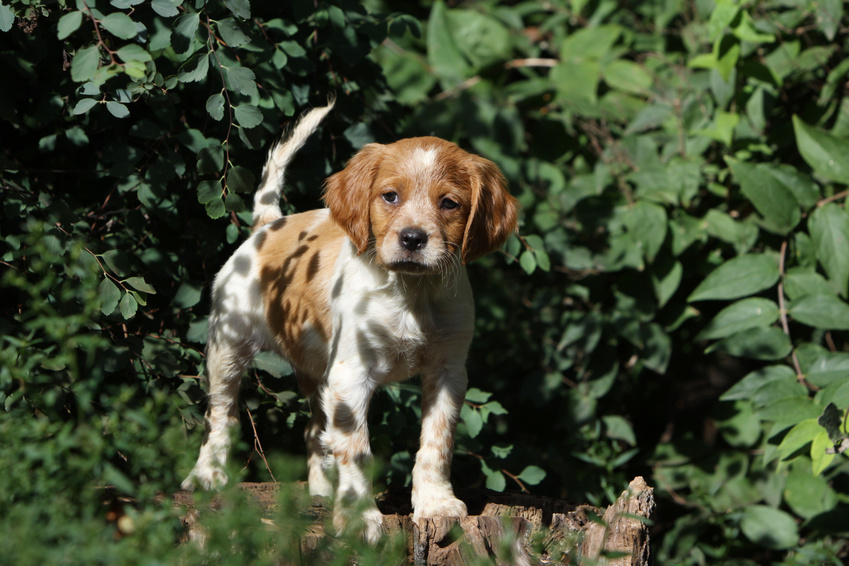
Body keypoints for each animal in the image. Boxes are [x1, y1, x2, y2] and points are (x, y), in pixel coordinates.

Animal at [182, 101, 520, 540]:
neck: (411, 294)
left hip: (314, 368)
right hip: (229, 342)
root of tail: (269, 225)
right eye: (390, 196)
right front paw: (361, 516)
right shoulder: (351, 373)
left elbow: (437, 442)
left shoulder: (447, 371)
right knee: (221, 414)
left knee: (314, 431)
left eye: (449, 203)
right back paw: (207, 474)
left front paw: (436, 503)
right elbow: (357, 448)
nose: (413, 238)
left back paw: (321, 492)